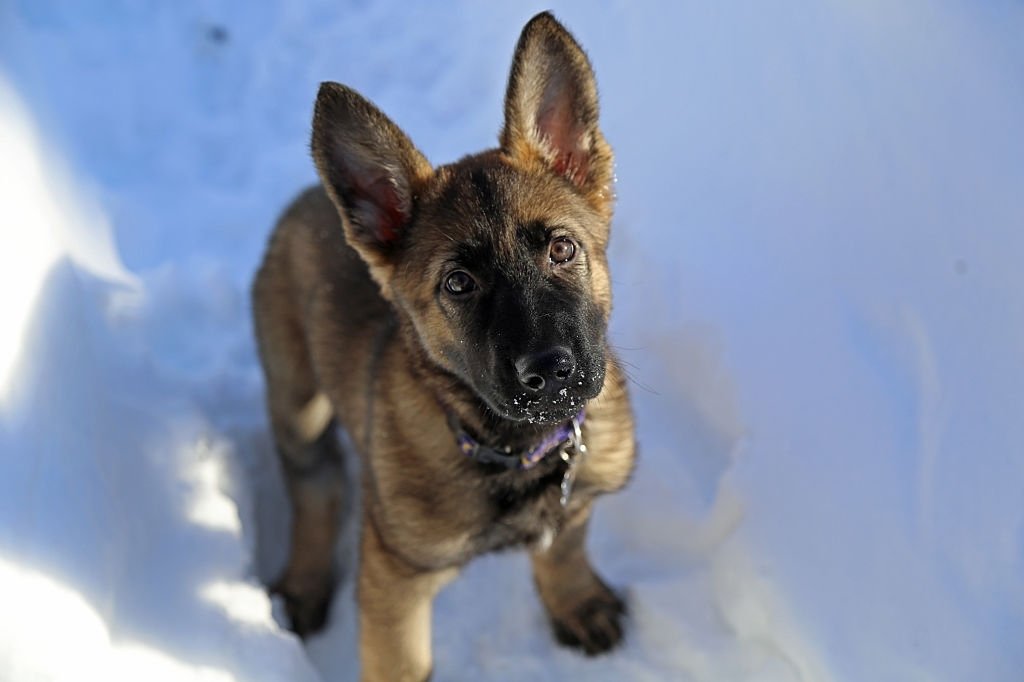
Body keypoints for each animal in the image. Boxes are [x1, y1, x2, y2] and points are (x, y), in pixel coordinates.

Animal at [250, 11, 630, 679]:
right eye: (459, 283)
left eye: (562, 249)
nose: (551, 372)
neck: (514, 449)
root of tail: (306, 198)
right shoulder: (395, 578)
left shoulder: (579, 497)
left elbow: (563, 548)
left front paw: (576, 601)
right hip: (296, 396)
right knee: (316, 485)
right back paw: (303, 583)